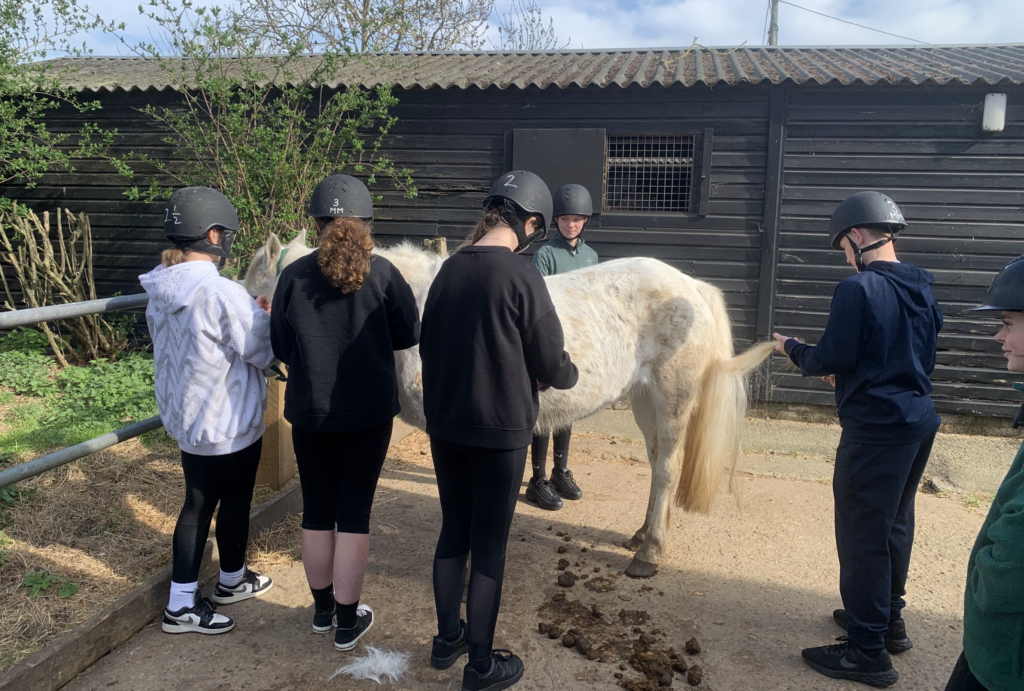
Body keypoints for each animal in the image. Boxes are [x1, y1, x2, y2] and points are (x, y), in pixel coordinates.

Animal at [245, 232, 774, 578]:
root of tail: (692, 288)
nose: (265, 363)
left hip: (671, 400)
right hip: (645, 401)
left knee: (666, 471)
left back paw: (648, 556)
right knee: (658, 463)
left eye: (256, 294)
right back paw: (643, 535)